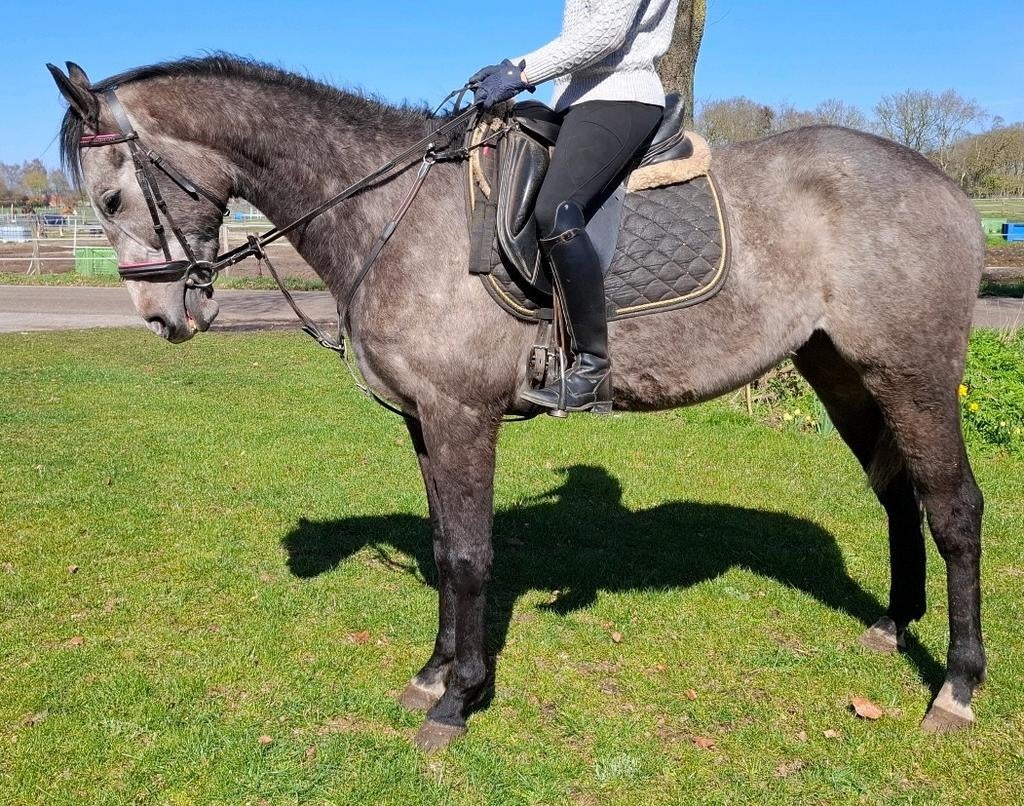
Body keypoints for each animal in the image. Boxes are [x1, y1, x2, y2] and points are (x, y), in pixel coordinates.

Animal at [49, 55, 986, 751]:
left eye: (111, 197)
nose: (166, 317)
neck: (392, 210)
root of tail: (944, 183)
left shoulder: (462, 415)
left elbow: (470, 556)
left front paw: (456, 702)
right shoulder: (424, 420)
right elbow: (441, 546)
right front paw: (432, 672)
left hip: (914, 373)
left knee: (954, 510)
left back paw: (957, 686)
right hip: (841, 370)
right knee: (897, 493)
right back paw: (894, 625)